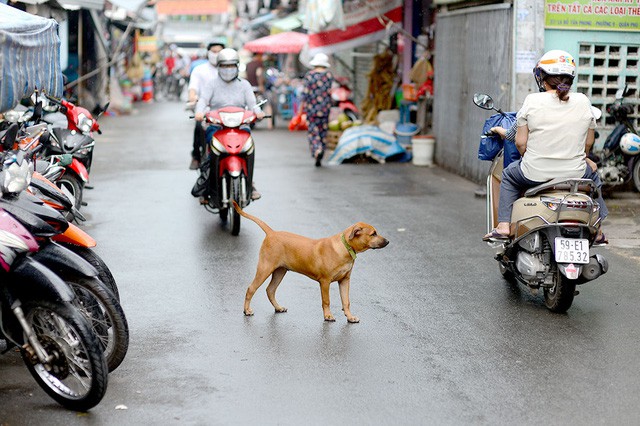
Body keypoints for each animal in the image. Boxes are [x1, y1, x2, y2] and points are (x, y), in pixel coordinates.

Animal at [232, 203, 388, 322]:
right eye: (373, 234)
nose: (387, 241)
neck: (344, 247)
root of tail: (271, 233)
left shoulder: (344, 280)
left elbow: (346, 301)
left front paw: (350, 317)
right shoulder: (325, 281)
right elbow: (326, 300)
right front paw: (328, 316)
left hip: (280, 271)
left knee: (270, 290)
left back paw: (278, 307)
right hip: (265, 268)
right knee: (251, 288)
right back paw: (247, 310)